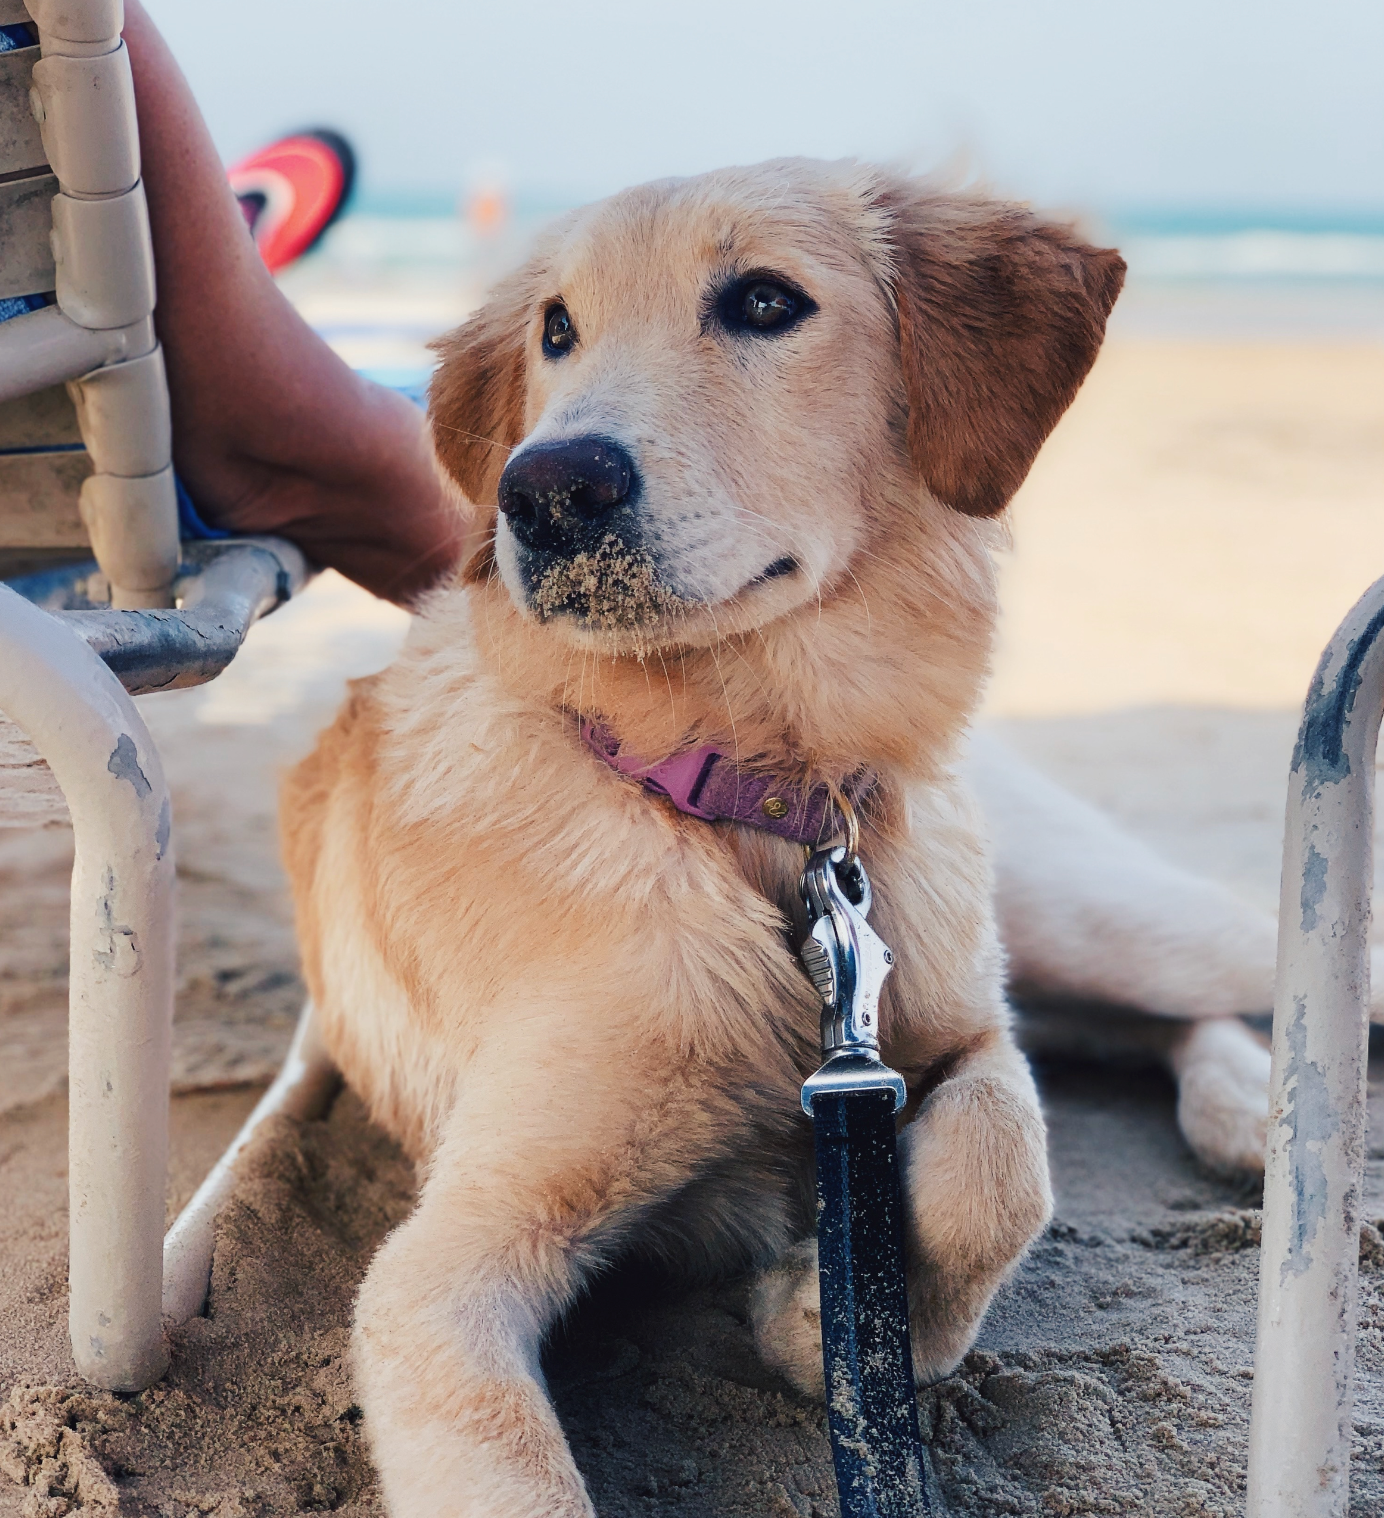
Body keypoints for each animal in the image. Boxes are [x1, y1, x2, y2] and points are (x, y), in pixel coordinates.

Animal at [283, 160, 1122, 1511]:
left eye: (765, 301)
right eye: (554, 331)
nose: (543, 490)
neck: (746, 802)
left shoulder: (950, 1018)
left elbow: (1007, 1158)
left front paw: (831, 1317)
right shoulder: (437, 1268)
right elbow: (510, 1469)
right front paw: (823, 1312)